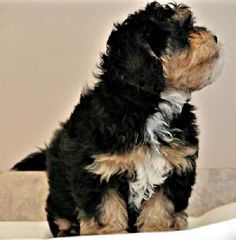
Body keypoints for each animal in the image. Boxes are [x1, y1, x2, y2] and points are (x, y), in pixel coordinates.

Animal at [13, 1, 221, 236]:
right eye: (181, 30)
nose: (214, 38)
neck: (148, 105)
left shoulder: (175, 166)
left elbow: (161, 201)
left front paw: (158, 227)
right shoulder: (97, 167)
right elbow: (105, 204)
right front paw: (107, 231)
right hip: (58, 195)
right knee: (60, 213)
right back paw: (69, 230)